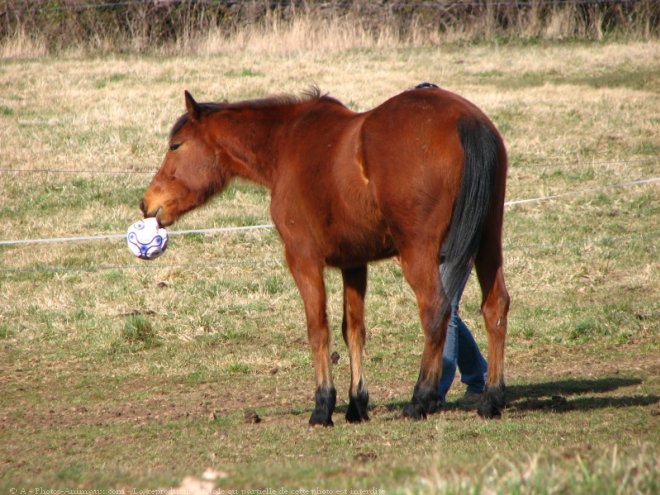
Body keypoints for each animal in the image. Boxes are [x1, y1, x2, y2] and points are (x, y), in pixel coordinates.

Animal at [141, 84, 510, 426]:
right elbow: (354, 330)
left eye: (176, 145)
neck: (286, 144)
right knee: (495, 307)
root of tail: (466, 119)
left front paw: (323, 406)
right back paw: (492, 399)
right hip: (488, 241)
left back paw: (420, 400)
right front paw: (356, 404)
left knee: (435, 309)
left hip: (420, 252)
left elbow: (318, 329)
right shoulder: (354, 263)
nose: (147, 203)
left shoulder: (303, 259)